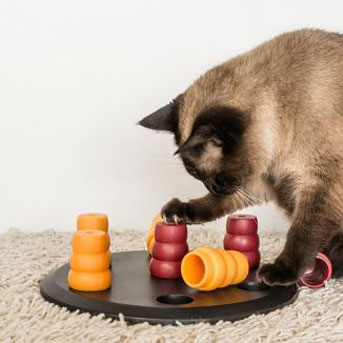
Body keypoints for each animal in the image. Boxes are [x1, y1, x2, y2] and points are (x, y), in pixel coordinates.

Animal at [138, 30, 343, 288]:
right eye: (196, 176)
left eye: (212, 176)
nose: (212, 187)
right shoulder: (258, 180)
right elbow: (213, 204)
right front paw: (179, 210)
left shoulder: (320, 186)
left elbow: (302, 233)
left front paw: (282, 270)